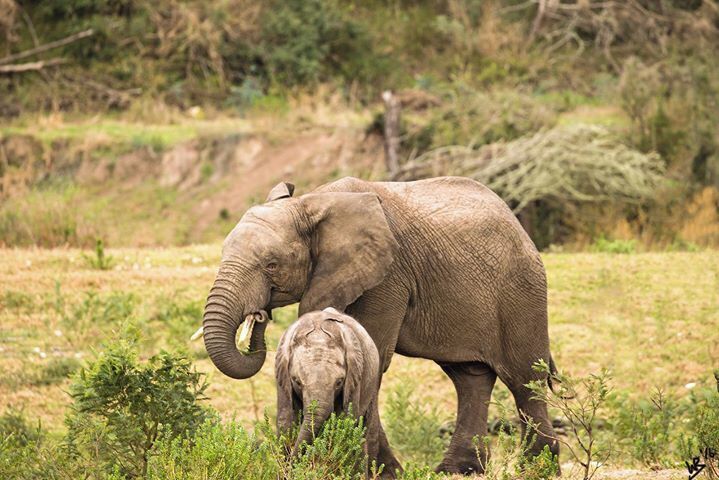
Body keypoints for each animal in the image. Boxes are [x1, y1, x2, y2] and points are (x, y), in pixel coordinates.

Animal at [275, 307, 381, 466]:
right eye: (297, 381)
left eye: (339, 382)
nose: (290, 464)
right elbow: (285, 420)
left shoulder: (355, 375)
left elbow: (346, 420)